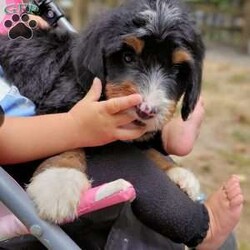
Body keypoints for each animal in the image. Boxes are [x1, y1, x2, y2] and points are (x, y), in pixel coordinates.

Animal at [0, 0, 203, 223]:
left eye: (176, 70)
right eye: (128, 57)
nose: (146, 110)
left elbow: (150, 149)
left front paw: (178, 172)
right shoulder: (56, 105)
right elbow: (66, 138)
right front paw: (60, 182)